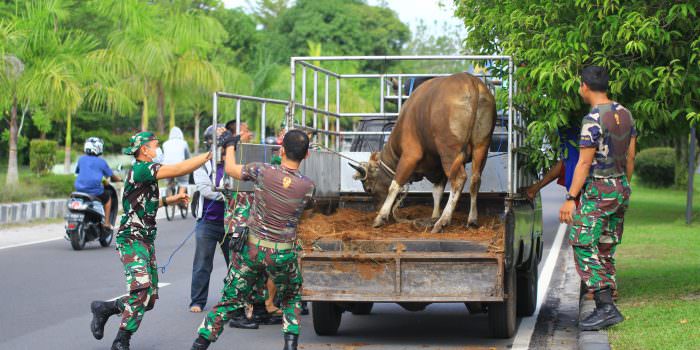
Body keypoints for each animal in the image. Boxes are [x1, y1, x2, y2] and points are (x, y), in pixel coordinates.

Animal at [352, 72, 494, 232]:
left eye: (369, 189)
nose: (377, 208)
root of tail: (470, 81)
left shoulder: (410, 156)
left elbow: (394, 185)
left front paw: (380, 217)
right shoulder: (439, 168)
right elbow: (437, 192)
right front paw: (434, 216)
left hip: (449, 152)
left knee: (459, 180)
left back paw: (443, 221)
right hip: (481, 146)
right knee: (475, 180)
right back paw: (471, 220)